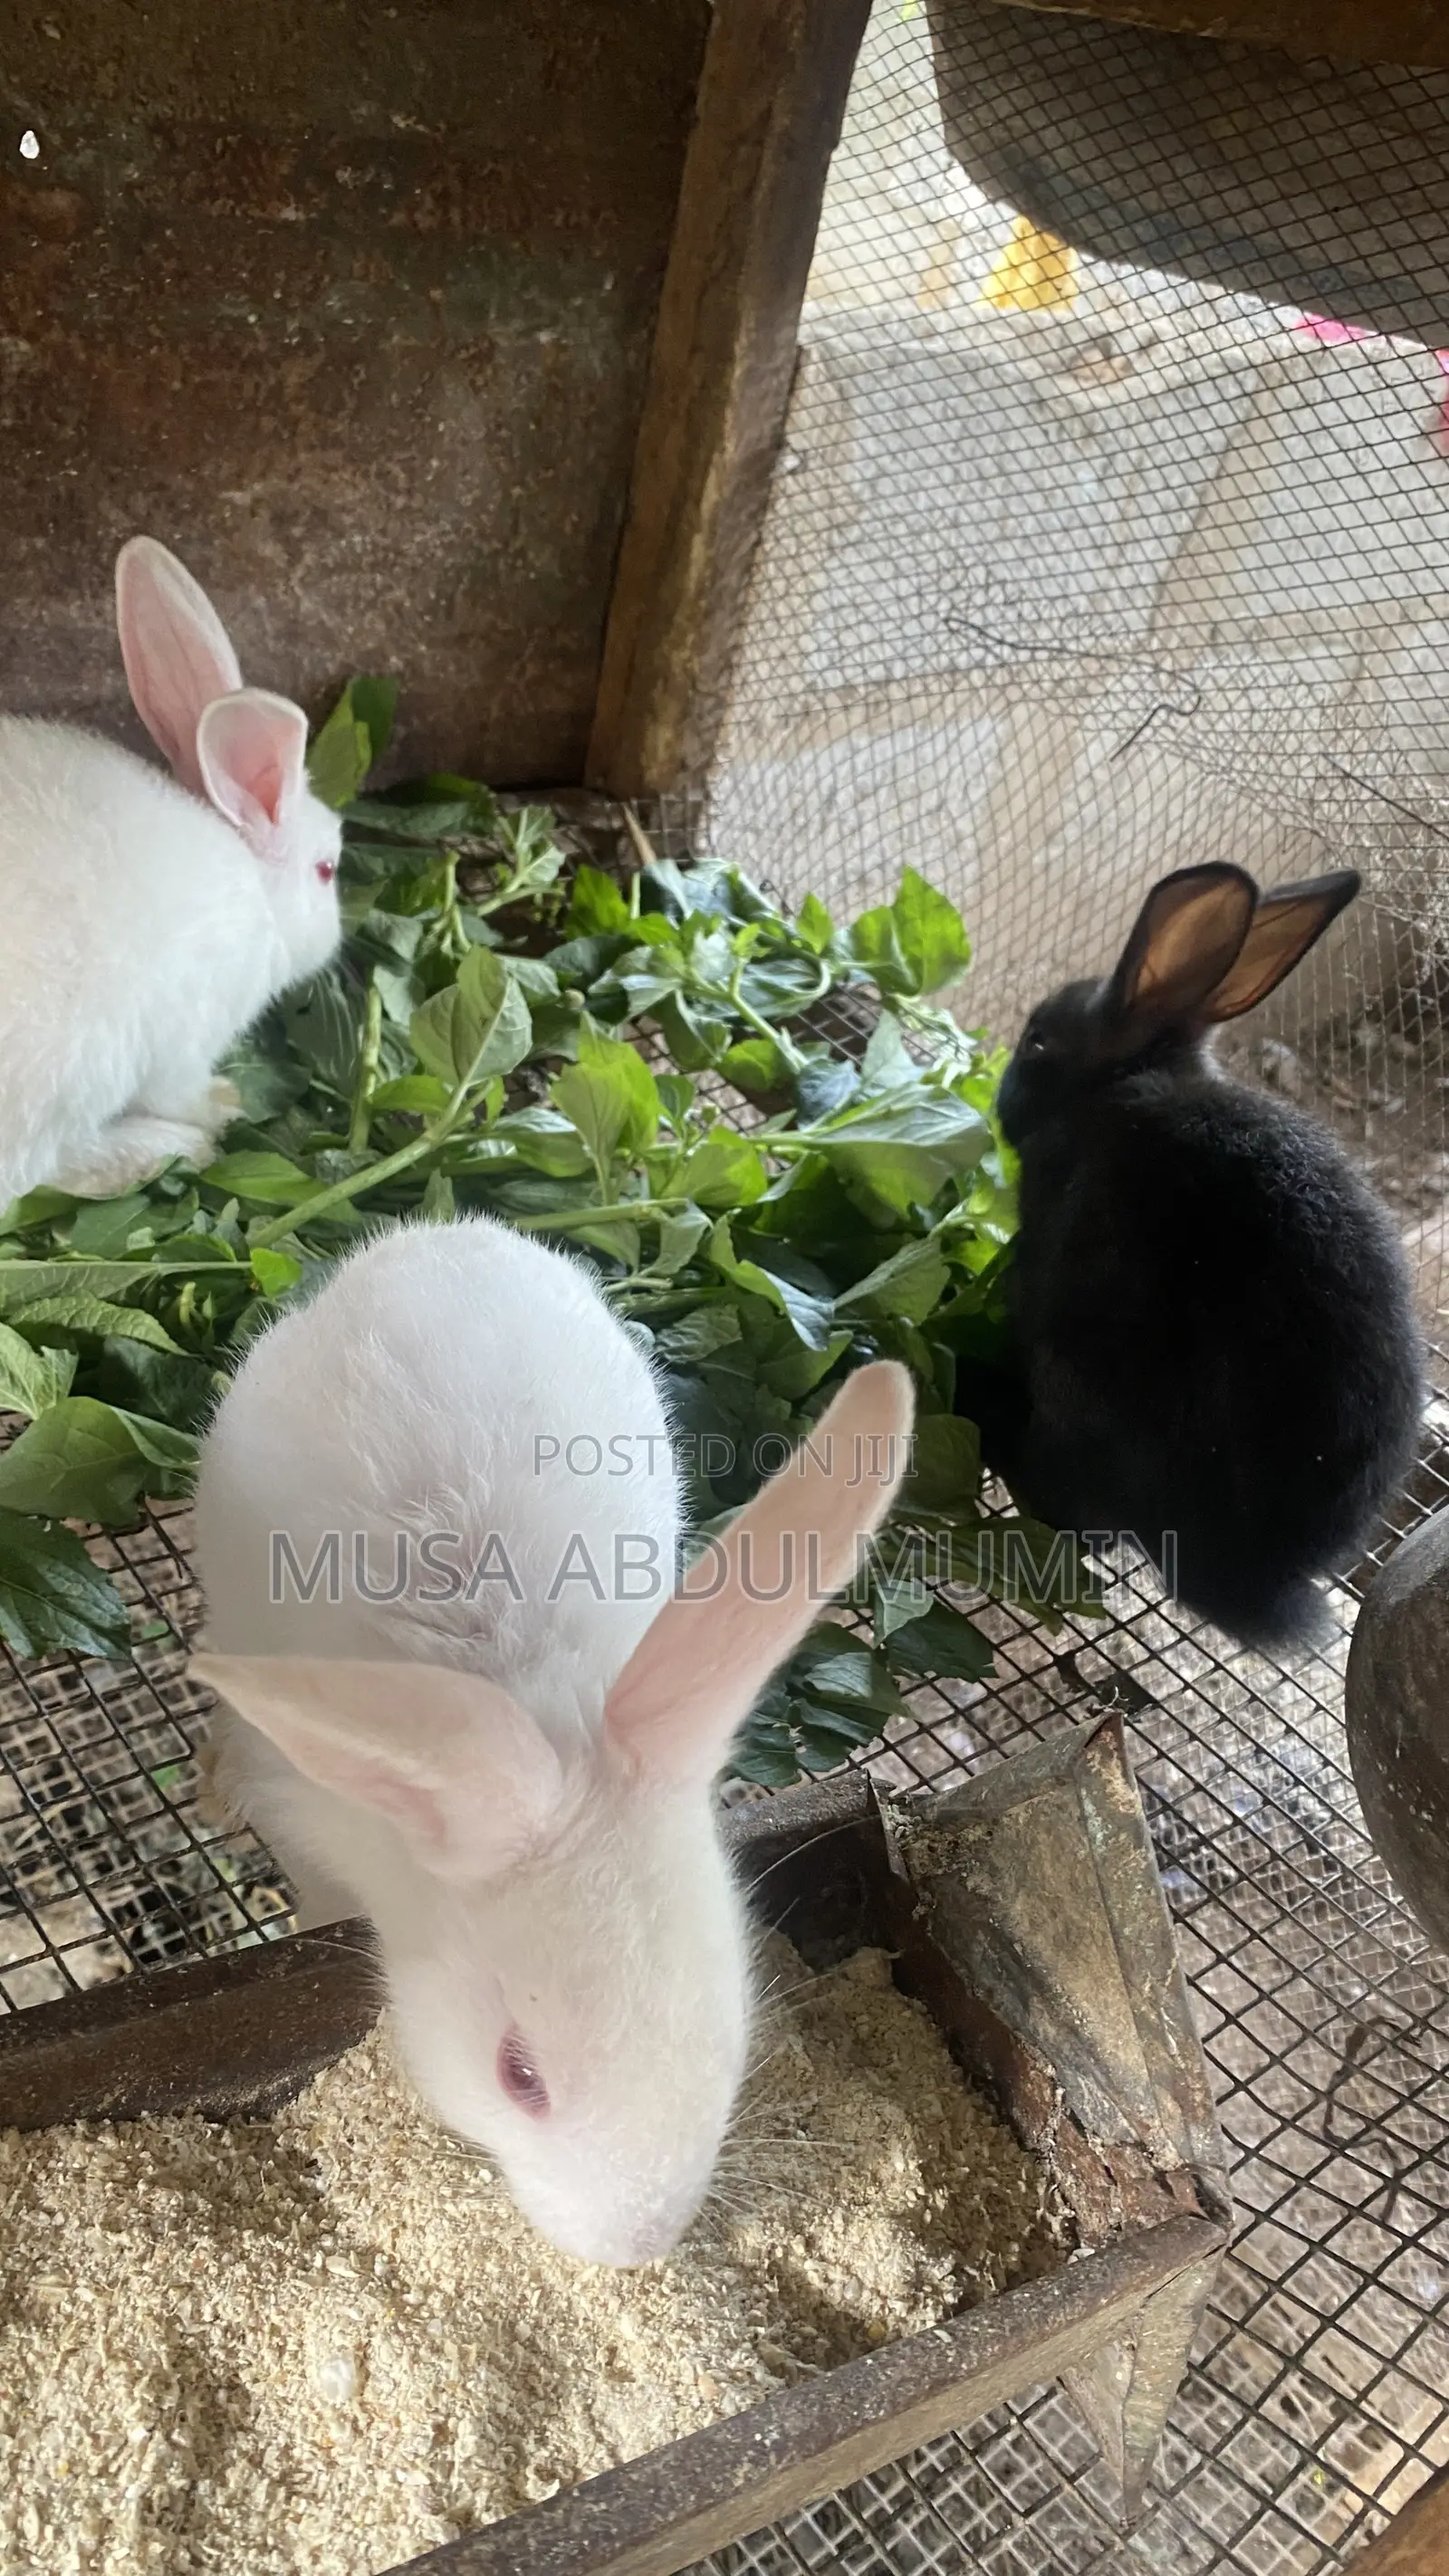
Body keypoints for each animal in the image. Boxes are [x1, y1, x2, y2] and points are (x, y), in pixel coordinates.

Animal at [0, 537, 342, 1209]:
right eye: (326, 869)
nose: (340, 934)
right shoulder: (189, 1038)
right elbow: (184, 1090)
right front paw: (224, 1104)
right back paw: (163, 1149)